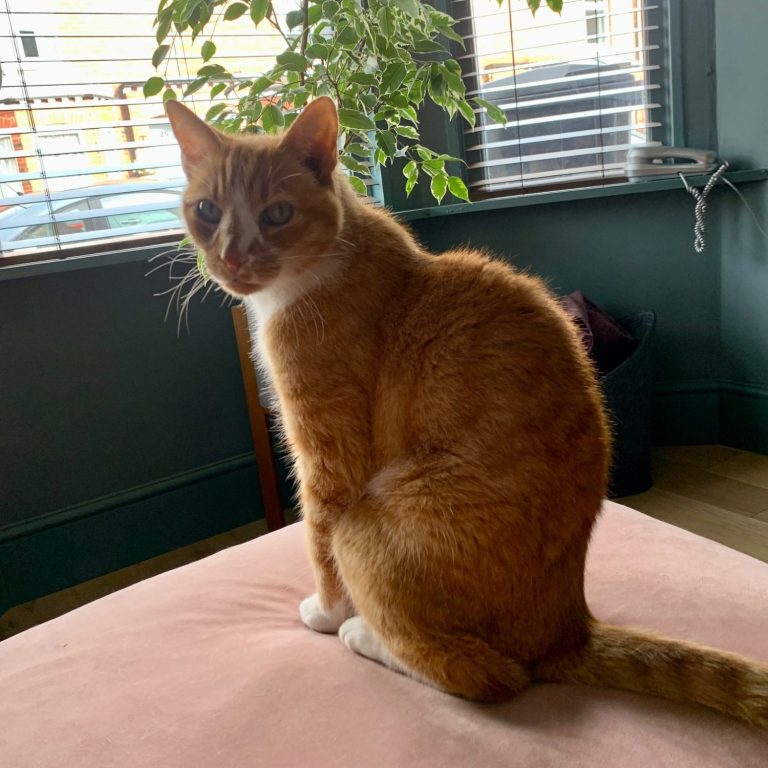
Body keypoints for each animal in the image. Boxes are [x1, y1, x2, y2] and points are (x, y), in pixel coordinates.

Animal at [166, 96, 768, 729]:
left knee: (484, 673)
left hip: (369, 529)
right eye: (207, 210)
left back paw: (363, 634)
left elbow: (318, 537)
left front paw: (326, 614)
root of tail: (566, 630)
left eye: (277, 214)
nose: (230, 258)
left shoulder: (327, 453)